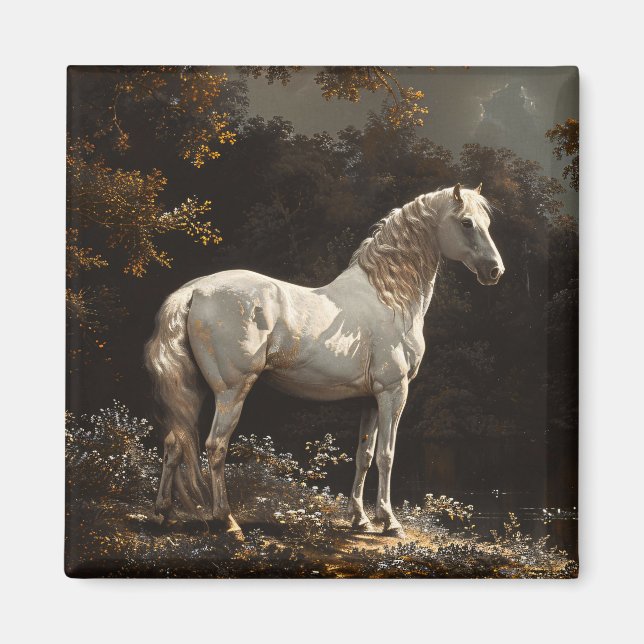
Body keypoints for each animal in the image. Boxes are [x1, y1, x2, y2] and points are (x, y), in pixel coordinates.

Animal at [144, 183, 504, 539]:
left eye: (487, 223)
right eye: (467, 223)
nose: (495, 271)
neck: (389, 297)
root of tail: (195, 291)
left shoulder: (370, 399)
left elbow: (364, 455)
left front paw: (360, 518)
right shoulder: (393, 391)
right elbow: (386, 456)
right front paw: (390, 522)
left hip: (197, 390)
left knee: (175, 442)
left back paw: (163, 514)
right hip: (231, 392)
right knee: (215, 446)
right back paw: (227, 521)